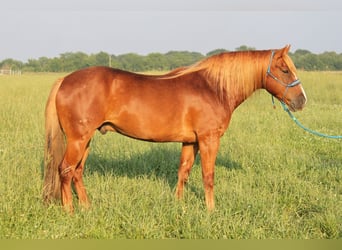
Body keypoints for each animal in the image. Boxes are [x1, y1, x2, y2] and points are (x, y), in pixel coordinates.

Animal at [42, 44, 308, 211]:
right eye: (284, 69)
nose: (301, 100)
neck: (213, 87)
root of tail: (65, 80)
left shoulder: (190, 141)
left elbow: (184, 172)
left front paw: (179, 205)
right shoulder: (209, 139)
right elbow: (208, 176)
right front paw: (211, 211)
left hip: (86, 140)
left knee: (77, 172)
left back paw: (87, 208)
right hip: (78, 139)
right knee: (65, 170)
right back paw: (70, 211)